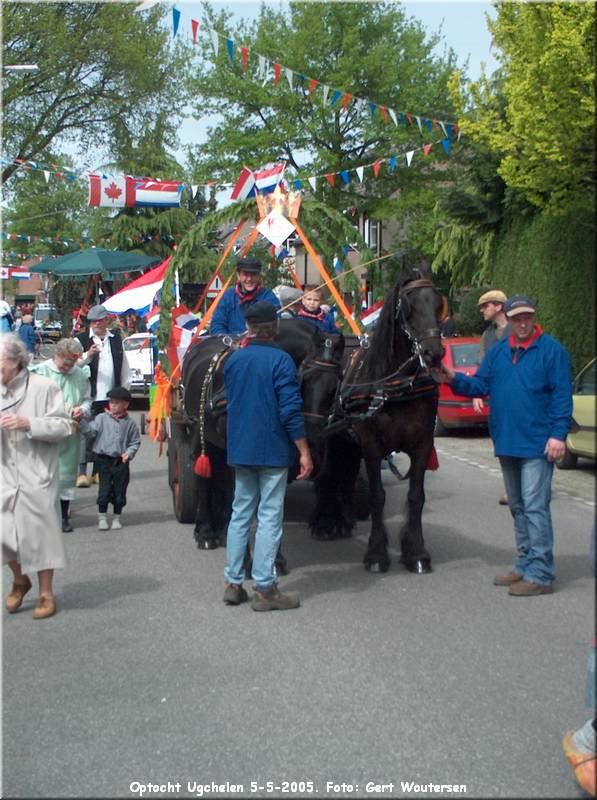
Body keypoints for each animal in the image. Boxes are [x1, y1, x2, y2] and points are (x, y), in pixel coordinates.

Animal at [168, 316, 344, 552]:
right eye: (305, 379)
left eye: (335, 387)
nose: (312, 434)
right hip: (199, 436)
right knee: (204, 477)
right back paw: (205, 530)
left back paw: (221, 525)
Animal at [310, 272, 444, 572]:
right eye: (408, 305)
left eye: (438, 302)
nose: (434, 352)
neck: (395, 386)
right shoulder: (372, 446)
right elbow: (377, 496)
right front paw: (376, 554)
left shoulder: (422, 444)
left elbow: (416, 497)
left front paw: (416, 552)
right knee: (327, 475)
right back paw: (323, 523)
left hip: (348, 442)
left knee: (347, 476)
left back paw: (344, 520)